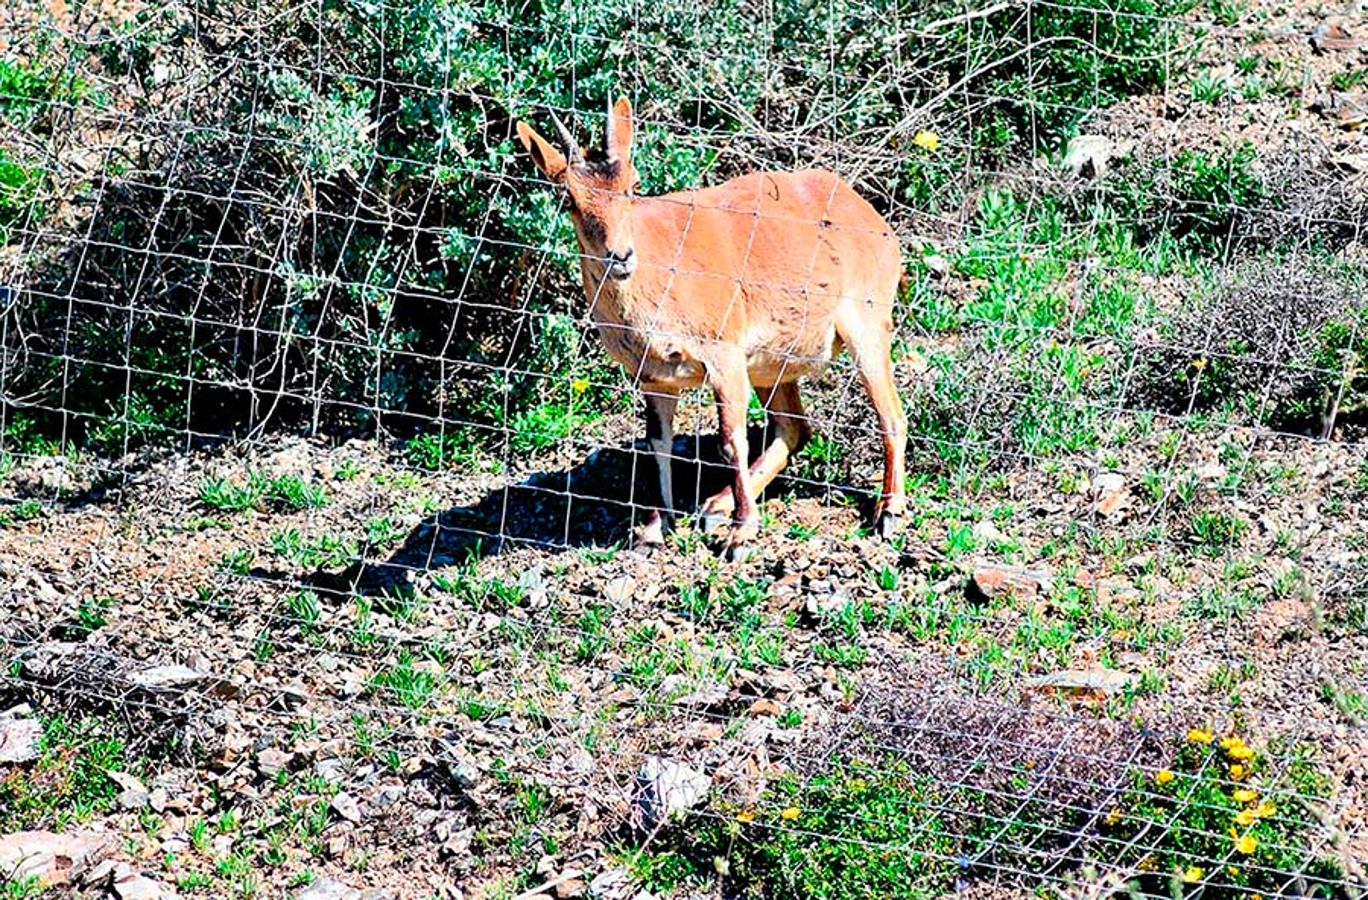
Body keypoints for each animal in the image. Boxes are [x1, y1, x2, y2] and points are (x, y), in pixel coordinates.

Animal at [514, 93, 908, 552]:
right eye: (569, 200)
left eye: (632, 187)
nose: (621, 256)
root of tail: (869, 215)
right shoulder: (654, 376)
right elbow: (659, 442)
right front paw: (655, 528)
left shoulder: (725, 354)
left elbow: (730, 441)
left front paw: (742, 533)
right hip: (771, 364)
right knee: (793, 428)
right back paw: (715, 505)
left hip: (866, 322)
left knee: (892, 416)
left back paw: (890, 511)